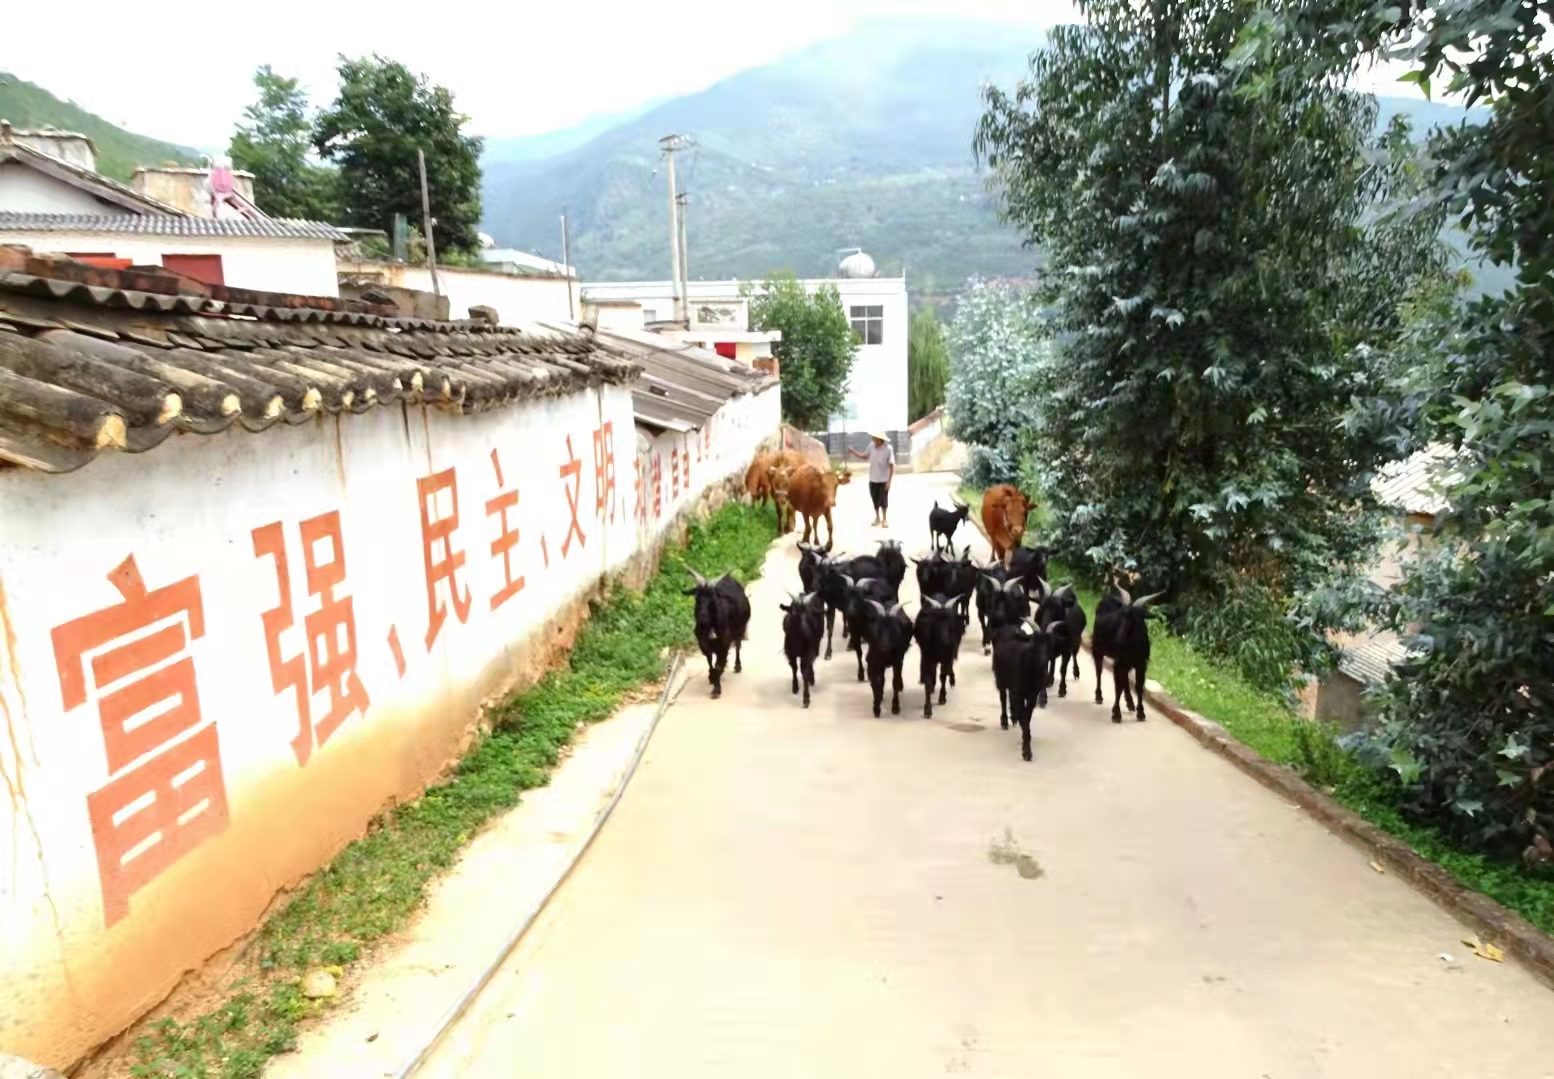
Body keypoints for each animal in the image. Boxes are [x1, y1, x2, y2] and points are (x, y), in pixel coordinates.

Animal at [685, 570, 751, 699]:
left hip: (740, 630)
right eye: (697, 599)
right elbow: (710, 660)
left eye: (712, 600)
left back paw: (737, 666)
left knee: (738, 646)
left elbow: (718, 665)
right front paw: (711, 676)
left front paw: (716, 689)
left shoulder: (724, 644)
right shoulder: (703, 644)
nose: (702, 619)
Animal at [1092, 584, 1163, 722]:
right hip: (1097, 649)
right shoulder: (1119, 662)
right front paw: (1116, 714)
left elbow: (1139, 686)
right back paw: (1099, 696)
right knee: (1099, 673)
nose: (1119, 639)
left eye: (1136, 618)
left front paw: (1141, 712)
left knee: (1124, 680)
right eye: (1122, 616)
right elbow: (1118, 687)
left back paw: (1130, 703)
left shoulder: (1141, 664)